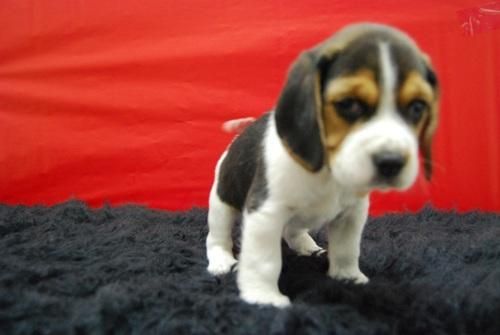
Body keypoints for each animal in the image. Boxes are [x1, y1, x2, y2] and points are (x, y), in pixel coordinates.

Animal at [205, 22, 440, 308]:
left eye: (417, 107)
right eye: (348, 104)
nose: (391, 161)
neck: (329, 172)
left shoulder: (352, 214)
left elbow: (347, 250)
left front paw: (348, 277)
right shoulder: (265, 213)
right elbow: (264, 262)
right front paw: (263, 298)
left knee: (293, 231)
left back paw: (307, 246)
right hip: (222, 202)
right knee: (217, 237)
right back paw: (221, 261)